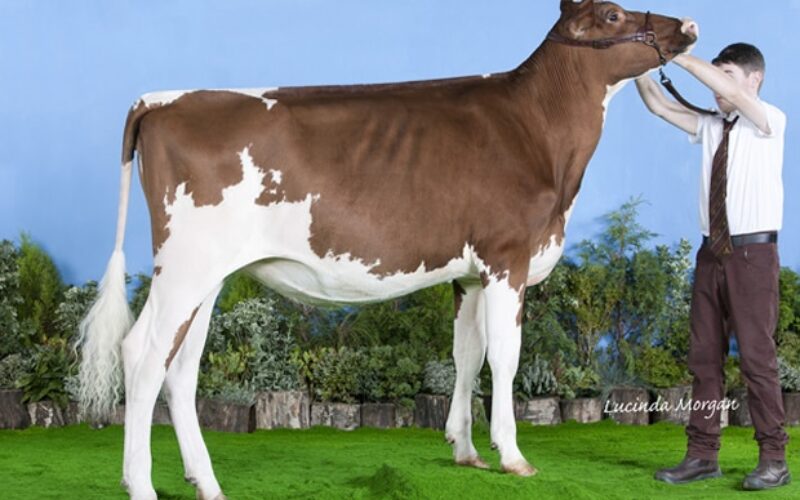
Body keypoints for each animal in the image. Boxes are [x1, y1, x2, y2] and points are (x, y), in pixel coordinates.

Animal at [77, 1, 698, 498]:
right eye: (613, 14)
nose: (688, 25)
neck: (540, 133)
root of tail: (162, 100)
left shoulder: (468, 273)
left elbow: (465, 355)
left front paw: (465, 450)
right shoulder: (507, 258)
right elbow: (505, 356)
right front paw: (513, 456)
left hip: (207, 275)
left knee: (180, 368)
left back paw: (206, 482)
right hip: (186, 265)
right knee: (143, 354)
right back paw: (140, 485)